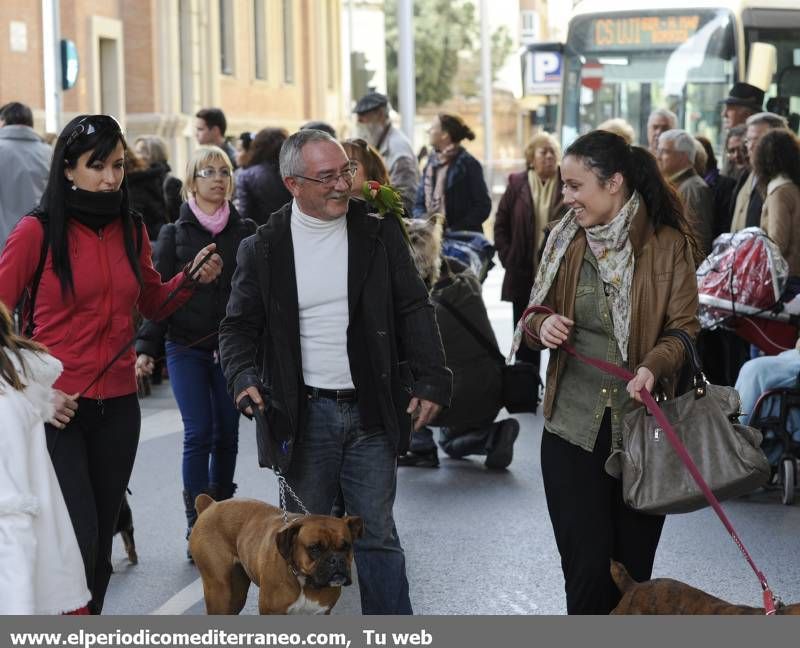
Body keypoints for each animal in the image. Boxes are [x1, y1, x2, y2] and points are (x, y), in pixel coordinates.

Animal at [188, 494, 362, 616]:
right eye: (314, 548)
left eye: (346, 546)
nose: (336, 560)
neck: (305, 582)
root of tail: (211, 504)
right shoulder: (272, 612)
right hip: (219, 592)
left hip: (236, 594)